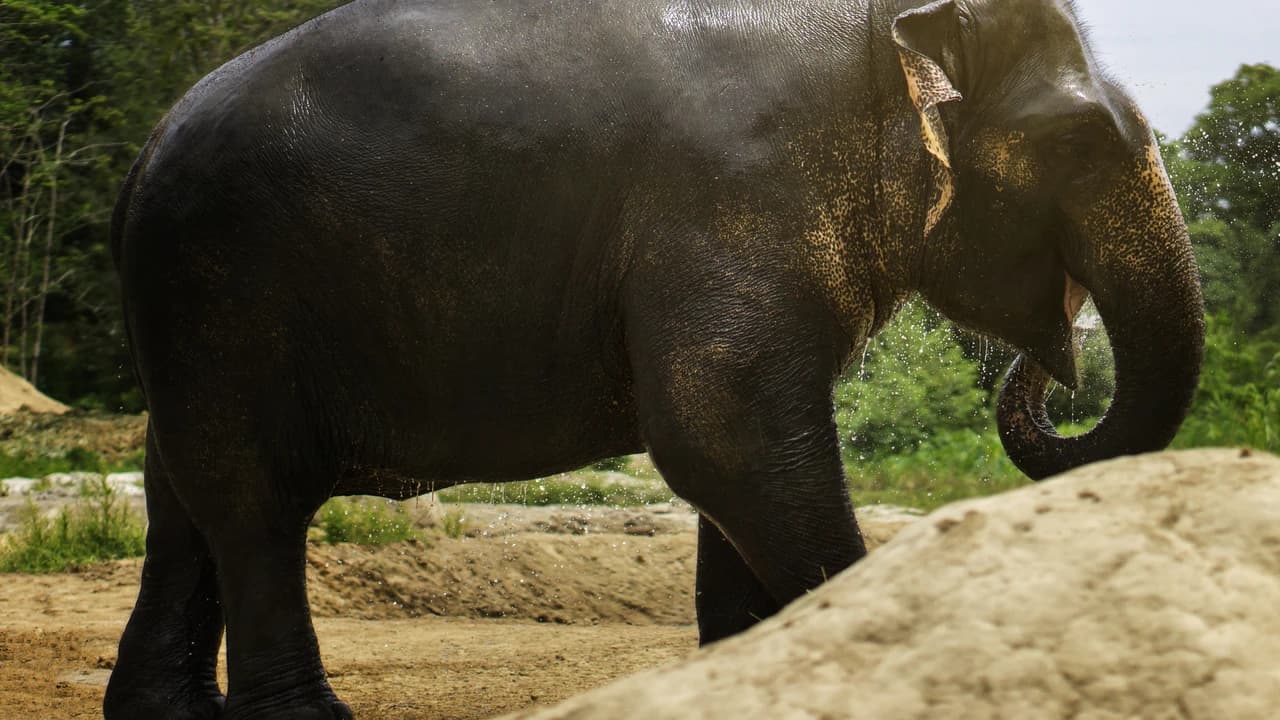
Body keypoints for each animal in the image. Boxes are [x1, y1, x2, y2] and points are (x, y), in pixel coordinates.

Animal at [106, 0, 1204, 717]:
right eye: (1079, 139)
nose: (1057, 355)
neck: (879, 26)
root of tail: (147, 145)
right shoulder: (734, 199)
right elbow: (722, 435)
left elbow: (735, 457)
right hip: (221, 285)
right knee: (254, 499)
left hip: (192, 315)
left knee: (180, 496)